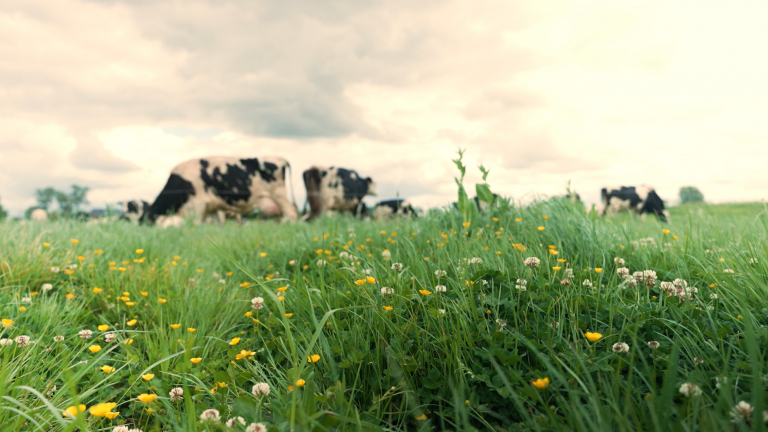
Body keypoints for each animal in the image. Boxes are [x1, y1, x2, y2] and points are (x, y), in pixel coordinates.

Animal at [144, 156, 296, 224]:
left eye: (146, 222)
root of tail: (282, 159)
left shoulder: (199, 204)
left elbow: (196, 223)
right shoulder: (212, 207)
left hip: (279, 194)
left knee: (291, 213)